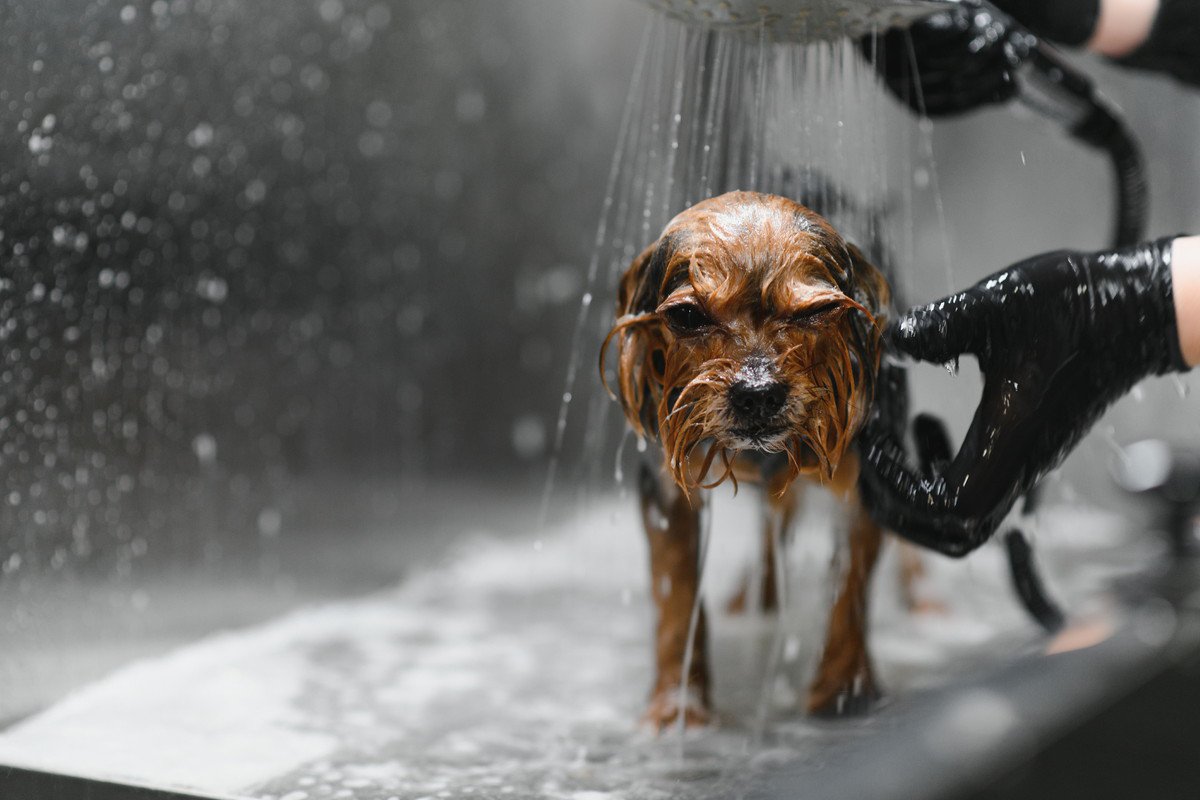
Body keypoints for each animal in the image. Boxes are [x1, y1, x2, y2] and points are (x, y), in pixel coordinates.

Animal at [604, 190, 897, 729]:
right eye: (687, 316)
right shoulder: (667, 492)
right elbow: (678, 601)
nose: (758, 394)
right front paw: (679, 707)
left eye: (818, 310)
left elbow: (850, 587)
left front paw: (843, 688)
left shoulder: (867, 482)